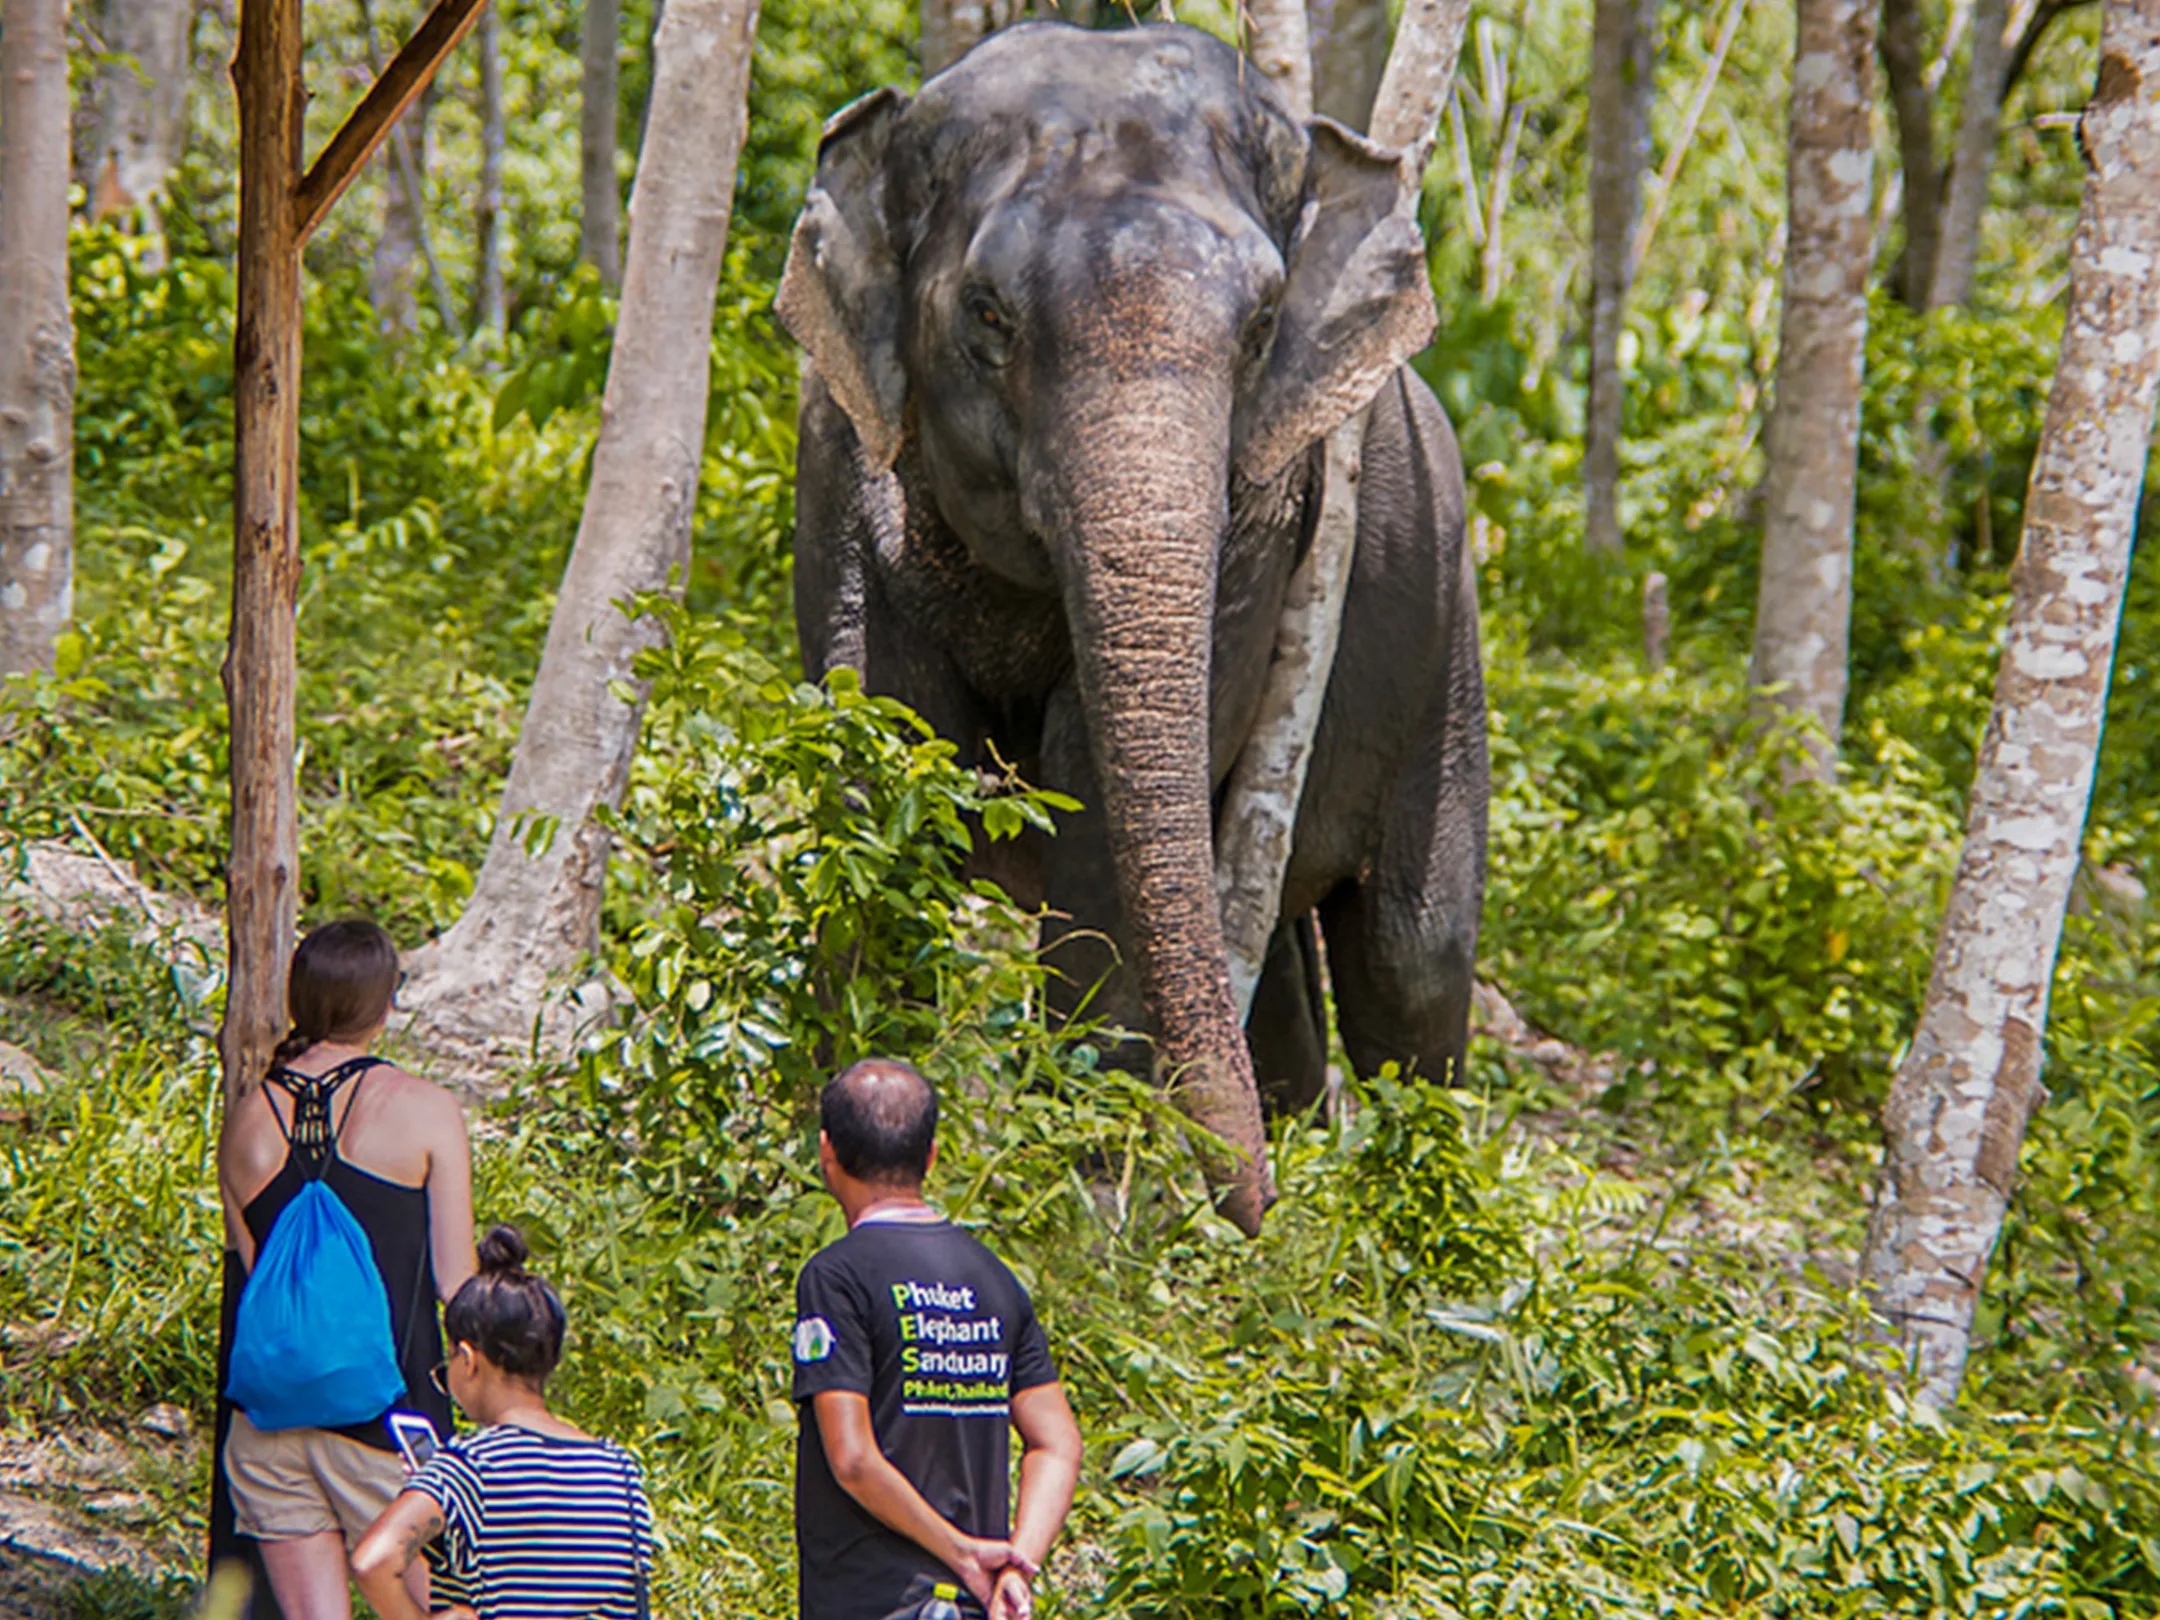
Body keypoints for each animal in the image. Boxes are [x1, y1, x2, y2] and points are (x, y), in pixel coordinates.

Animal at [776, 20, 1487, 1233]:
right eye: (988, 312)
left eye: (1262, 326)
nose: (1246, 1212)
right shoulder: (835, 454)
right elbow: (877, 764)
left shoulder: (1265, 520)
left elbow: (1099, 802)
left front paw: (1079, 1199)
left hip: (1445, 646)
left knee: (1412, 953)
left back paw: (1399, 1223)